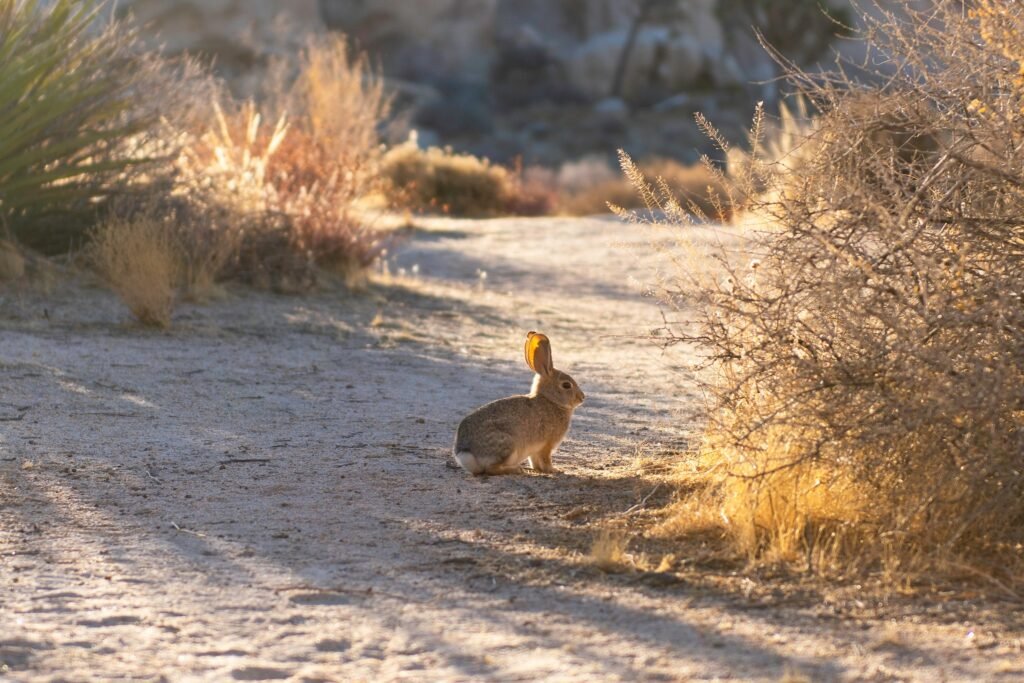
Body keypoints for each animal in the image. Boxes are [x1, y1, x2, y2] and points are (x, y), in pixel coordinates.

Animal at [453, 331, 585, 475]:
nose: (582, 397)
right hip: (508, 445)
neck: (551, 400)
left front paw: (539, 469)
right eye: (566, 385)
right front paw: (554, 470)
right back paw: (516, 469)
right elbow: (546, 459)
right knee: (491, 469)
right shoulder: (546, 444)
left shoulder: (535, 450)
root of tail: (466, 452)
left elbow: (535, 461)